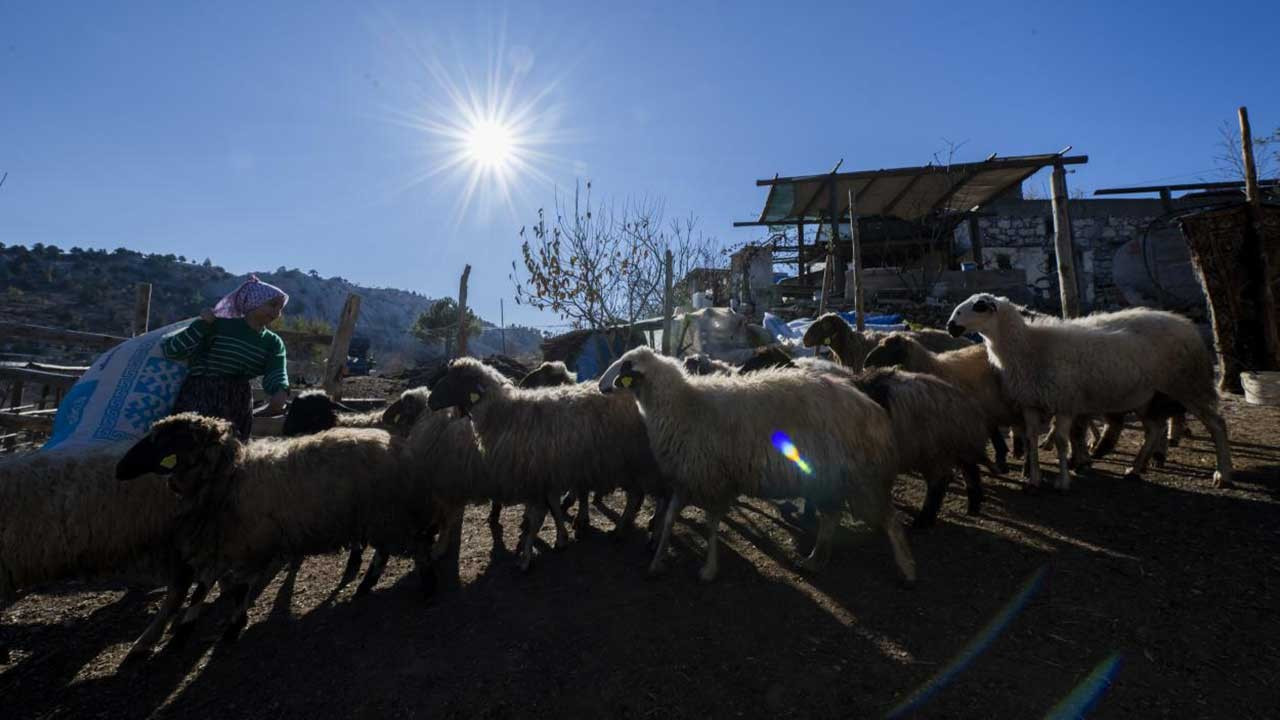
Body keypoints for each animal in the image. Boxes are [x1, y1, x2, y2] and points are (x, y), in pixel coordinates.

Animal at [112, 412, 430, 653]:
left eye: (160, 443)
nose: (119, 469)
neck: (231, 475)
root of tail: (397, 443)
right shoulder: (228, 543)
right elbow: (208, 588)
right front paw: (190, 630)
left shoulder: (249, 545)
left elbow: (235, 589)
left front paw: (229, 628)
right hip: (377, 516)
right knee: (384, 550)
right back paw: (366, 585)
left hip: (388, 512)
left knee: (411, 544)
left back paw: (424, 584)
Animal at [424, 356, 660, 568]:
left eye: (455, 380)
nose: (429, 401)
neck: (503, 412)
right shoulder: (546, 473)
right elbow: (553, 506)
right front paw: (560, 538)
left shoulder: (535, 477)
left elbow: (538, 515)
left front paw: (527, 554)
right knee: (639, 495)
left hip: (633, 461)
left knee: (642, 496)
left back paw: (631, 531)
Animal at [599, 345, 911, 586]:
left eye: (625, 365)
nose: (601, 386)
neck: (683, 405)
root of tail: (873, 409)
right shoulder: (687, 477)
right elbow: (669, 520)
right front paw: (656, 562)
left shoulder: (713, 480)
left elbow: (711, 525)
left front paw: (708, 570)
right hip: (830, 481)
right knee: (832, 519)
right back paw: (814, 560)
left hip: (864, 479)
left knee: (890, 521)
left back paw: (907, 572)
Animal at [952, 292, 1228, 486]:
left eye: (979, 306)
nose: (951, 325)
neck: (1030, 345)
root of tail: (1188, 325)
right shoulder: (1031, 402)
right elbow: (1032, 438)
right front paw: (1034, 479)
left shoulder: (1064, 401)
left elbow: (1062, 439)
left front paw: (1063, 480)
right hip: (1146, 395)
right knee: (1154, 428)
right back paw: (1134, 469)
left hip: (1188, 384)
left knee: (1216, 424)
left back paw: (1223, 474)